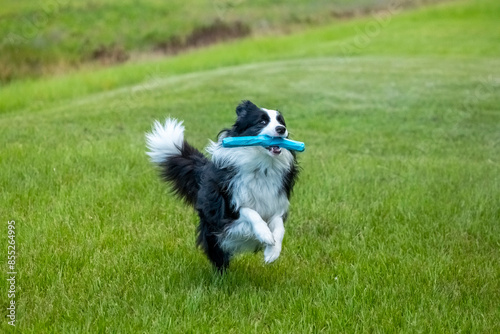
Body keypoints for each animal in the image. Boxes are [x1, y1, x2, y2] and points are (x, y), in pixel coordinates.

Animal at [146, 100, 298, 272]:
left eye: (281, 122)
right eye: (262, 122)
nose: (281, 129)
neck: (261, 166)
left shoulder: (276, 203)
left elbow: (279, 227)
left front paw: (272, 251)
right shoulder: (229, 207)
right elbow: (250, 212)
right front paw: (264, 234)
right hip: (211, 227)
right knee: (216, 250)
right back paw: (221, 274)